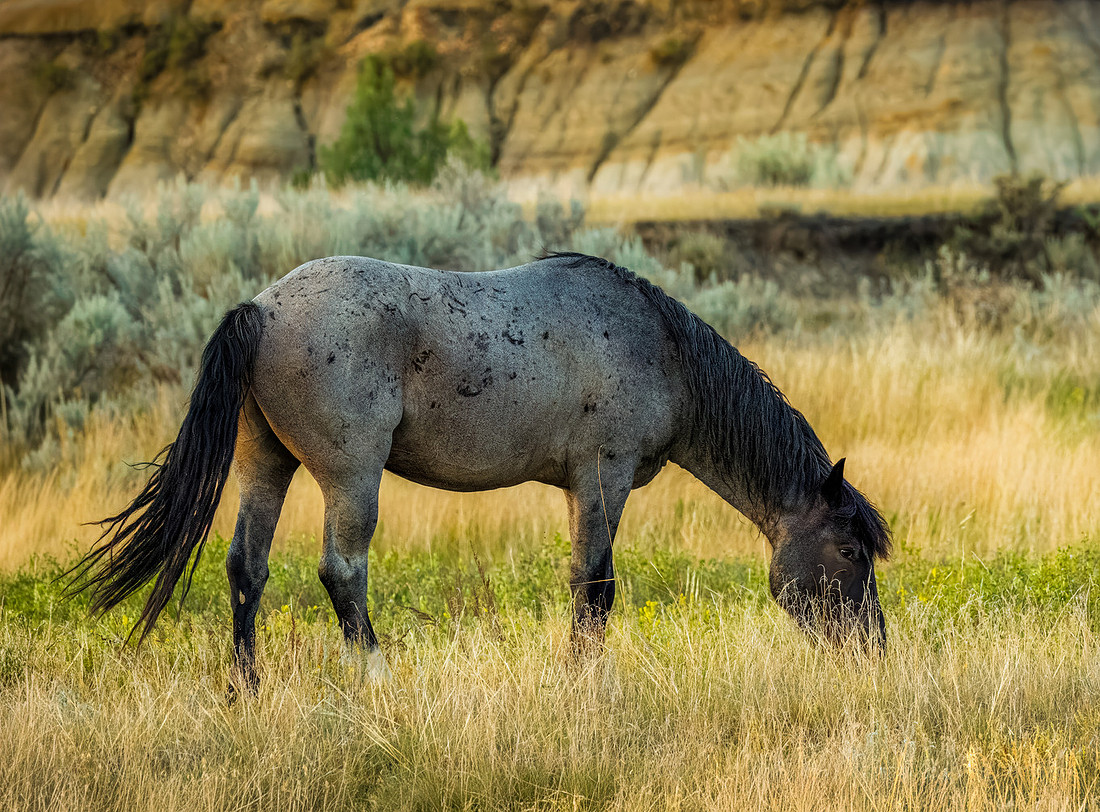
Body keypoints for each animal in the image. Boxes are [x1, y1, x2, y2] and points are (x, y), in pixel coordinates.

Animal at [69, 252, 891, 689]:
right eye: (849, 551)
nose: (873, 650)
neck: (659, 347)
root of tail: (263, 310)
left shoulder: (580, 487)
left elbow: (583, 583)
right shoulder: (604, 476)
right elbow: (595, 586)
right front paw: (585, 684)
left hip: (263, 467)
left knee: (247, 567)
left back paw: (247, 689)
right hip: (350, 476)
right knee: (342, 571)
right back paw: (378, 678)